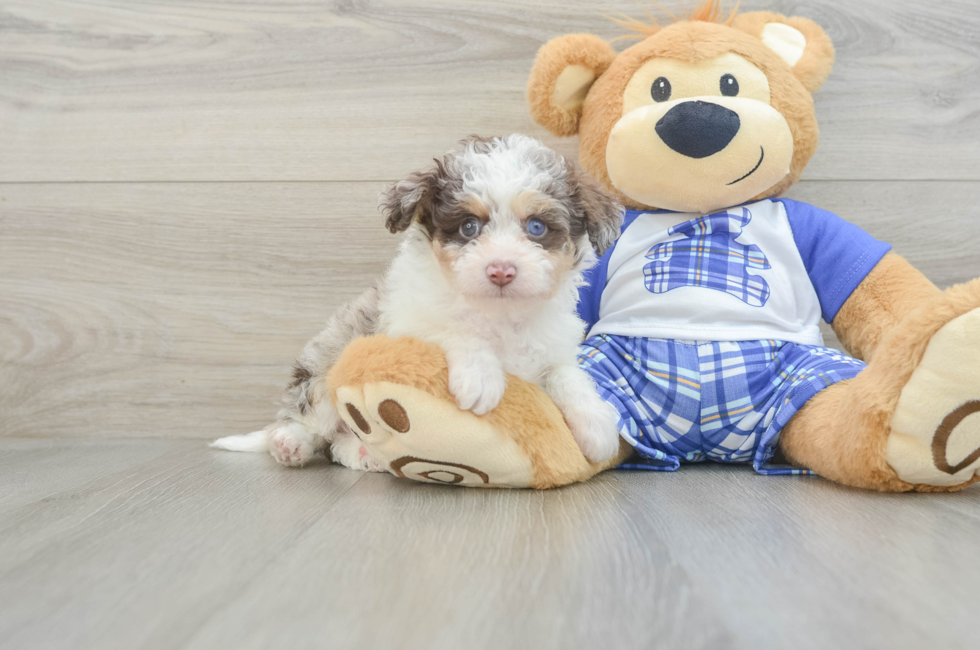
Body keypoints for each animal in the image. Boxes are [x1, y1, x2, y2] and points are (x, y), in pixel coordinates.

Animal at [213, 135, 624, 470]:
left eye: (536, 227)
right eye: (469, 227)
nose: (501, 271)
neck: (499, 314)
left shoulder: (552, 347)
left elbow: (566, 375)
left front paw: (596, 424)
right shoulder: (402, 325)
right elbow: (450, 326)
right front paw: (480, 376)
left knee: (339, 444)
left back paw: (362, 453)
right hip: (330, 358)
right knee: (311, 415)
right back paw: (289, 441)